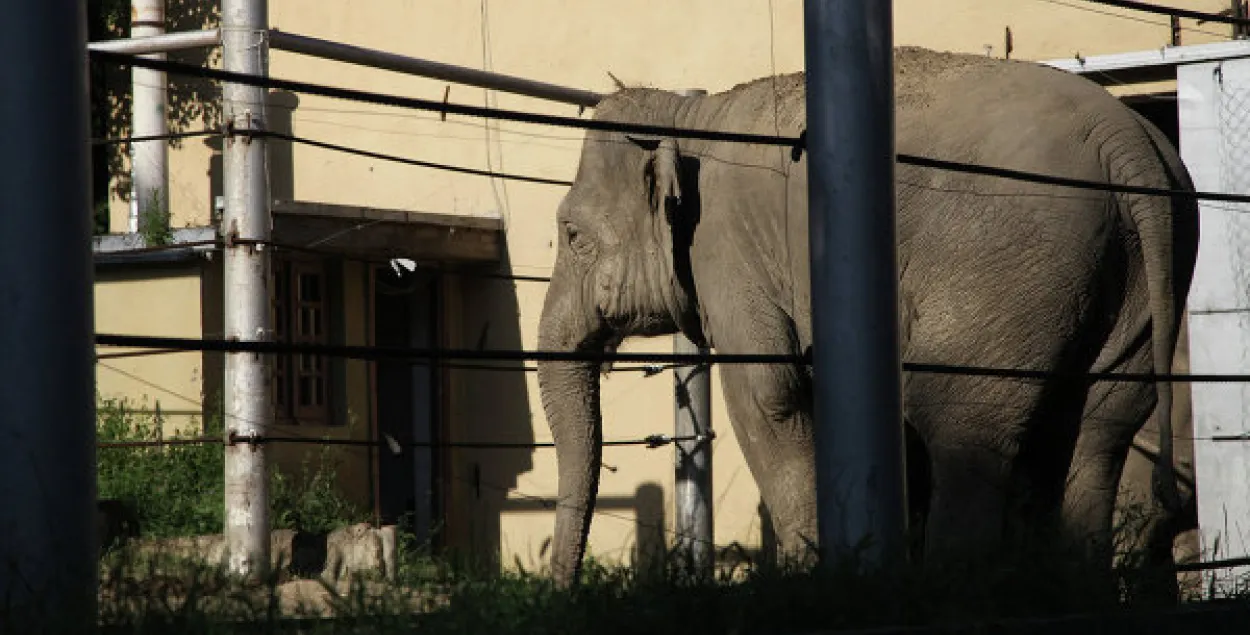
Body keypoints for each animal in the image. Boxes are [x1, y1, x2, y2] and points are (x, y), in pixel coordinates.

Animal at [537, 47, 1200, 587]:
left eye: (572, 236)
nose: (565, 590)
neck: (689, 116)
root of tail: (1128, 146)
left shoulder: (726, 249)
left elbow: (768, 395)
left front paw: (810, 583)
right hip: (1134, 286)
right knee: (1092, 433)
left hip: (1008, 273)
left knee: (960, 424)